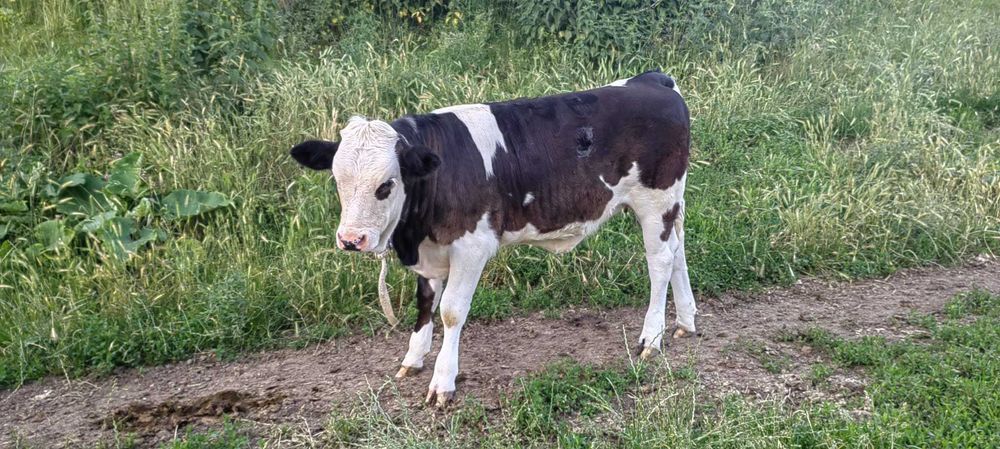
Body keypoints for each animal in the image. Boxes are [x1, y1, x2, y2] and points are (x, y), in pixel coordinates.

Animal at [290, 69, 696, 407]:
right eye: (337, 180)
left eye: (386, 184)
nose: (351, 239)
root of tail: (652, 80)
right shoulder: (431, 249)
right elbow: (425, 301)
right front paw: (413, 358)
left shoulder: (472, 246)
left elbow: (451, 310)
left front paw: (442, 381)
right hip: (672, 203)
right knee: (678, 252)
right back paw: (685, 322)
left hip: (655, 200)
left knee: (660, 261)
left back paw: (651, 338)